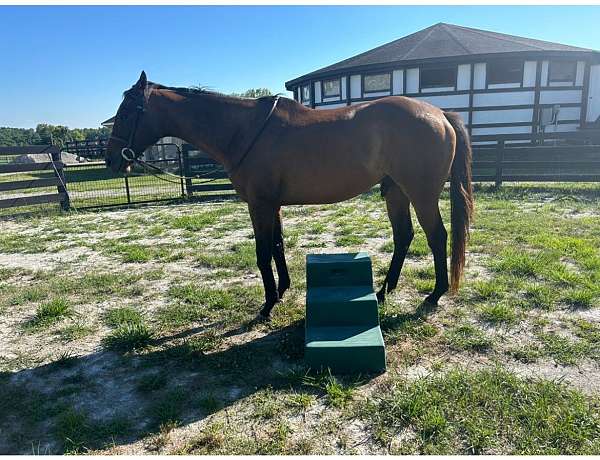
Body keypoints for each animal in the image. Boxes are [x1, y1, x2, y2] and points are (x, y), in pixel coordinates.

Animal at [104, 72, 474, 320]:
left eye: (126, 112)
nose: (112, 160)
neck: (243, 130)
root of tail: (440, 114)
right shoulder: (273, 206)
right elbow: (277, 246)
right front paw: (282, 290)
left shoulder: (259, 206)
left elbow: (262, 252)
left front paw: (267, 305)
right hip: (396, 191)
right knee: (404, 236)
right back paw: (384, 291)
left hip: (420, 194)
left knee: (437, 237)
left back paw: (434, 295)